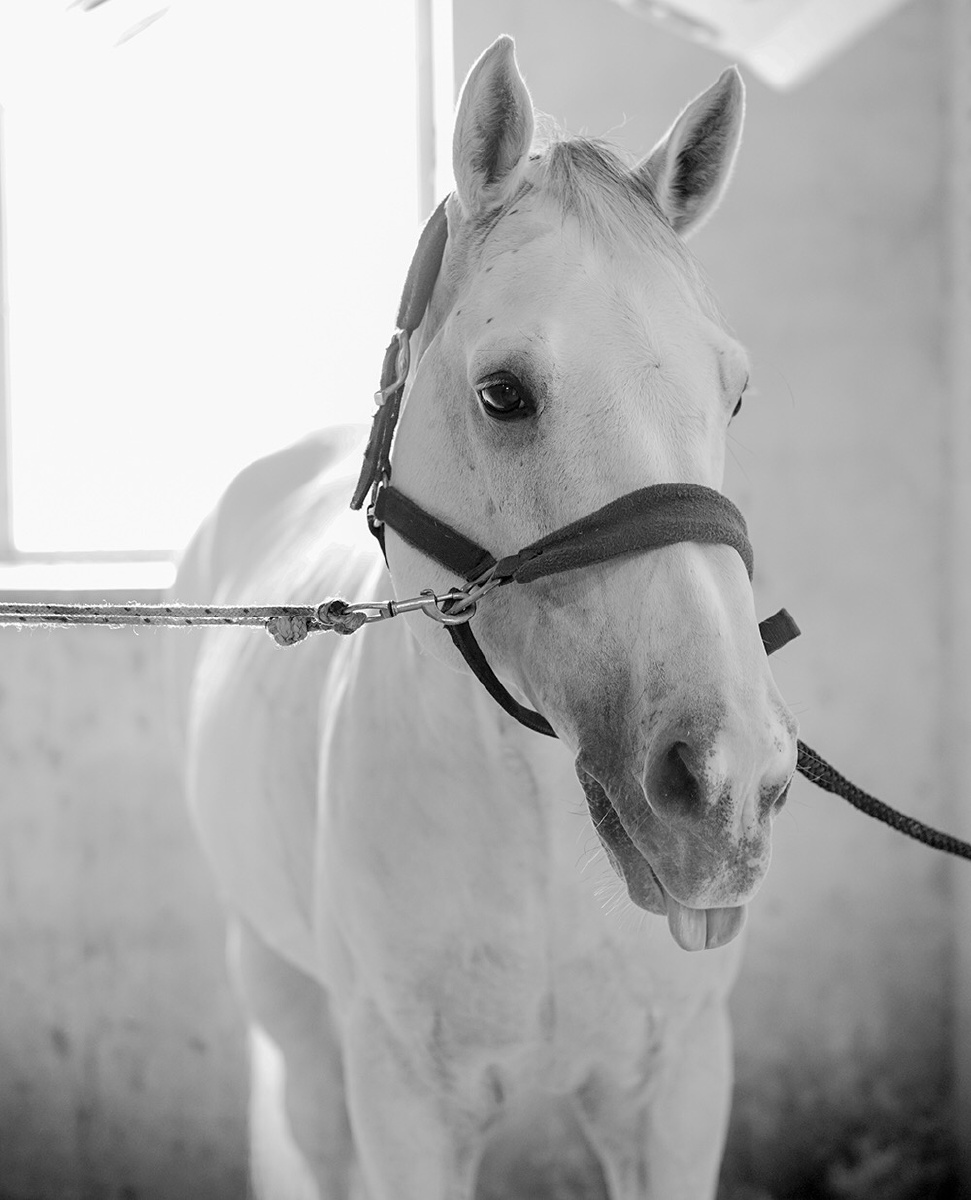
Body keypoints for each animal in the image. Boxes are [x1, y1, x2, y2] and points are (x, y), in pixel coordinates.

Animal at [171, 35, 798, 1200]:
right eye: (503, 392)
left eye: (732, 394)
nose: (728, 785)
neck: (538, 829)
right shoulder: (405, 1108)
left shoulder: (677, 1088)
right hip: (285, 1005)